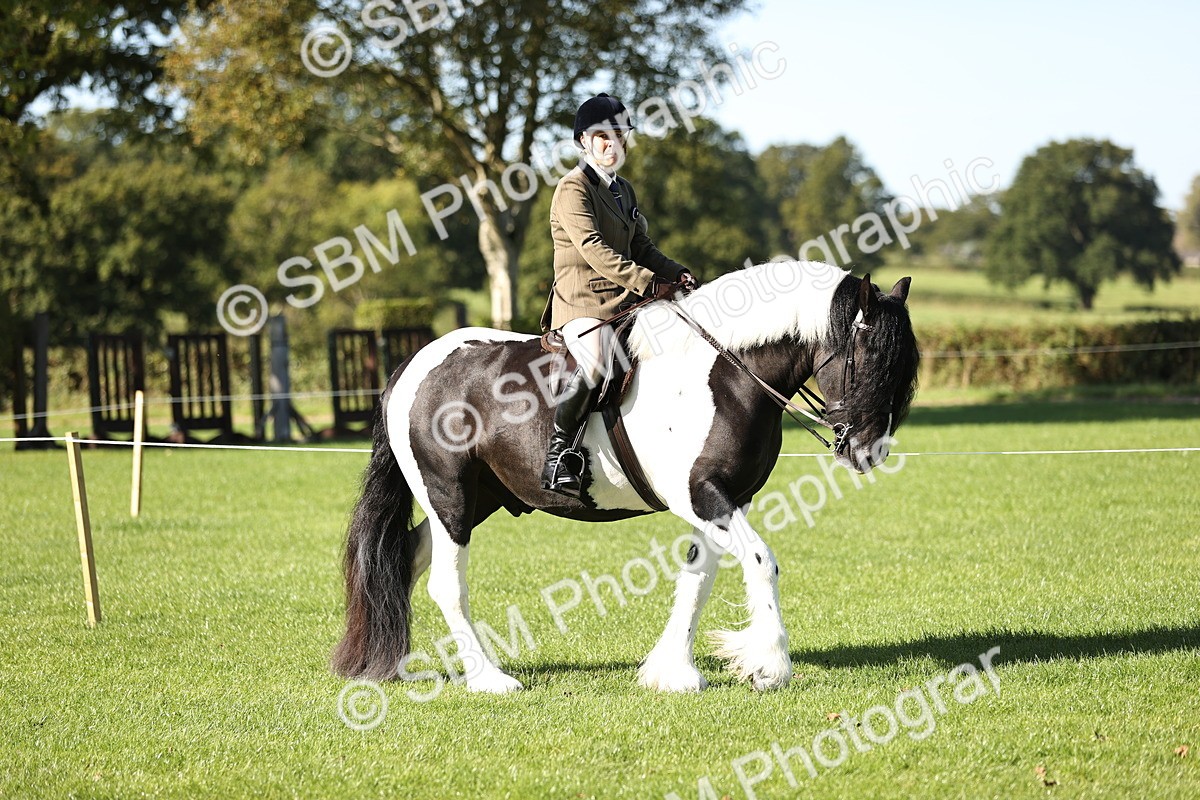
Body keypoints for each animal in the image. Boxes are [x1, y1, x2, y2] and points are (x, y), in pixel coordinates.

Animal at [331, 259, 919, 692]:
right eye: (868, 361)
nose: (868, 452)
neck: (725, 373)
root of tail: (412, 366)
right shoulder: (702, 495)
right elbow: (759, 560)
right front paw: (770, 664)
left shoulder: (728, 499)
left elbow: (698, 576)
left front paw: (673, 672)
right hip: (448, 495)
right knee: (446, 583)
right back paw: (489, 680)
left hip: (478, 500)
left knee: (404, 560)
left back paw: (402, 665)